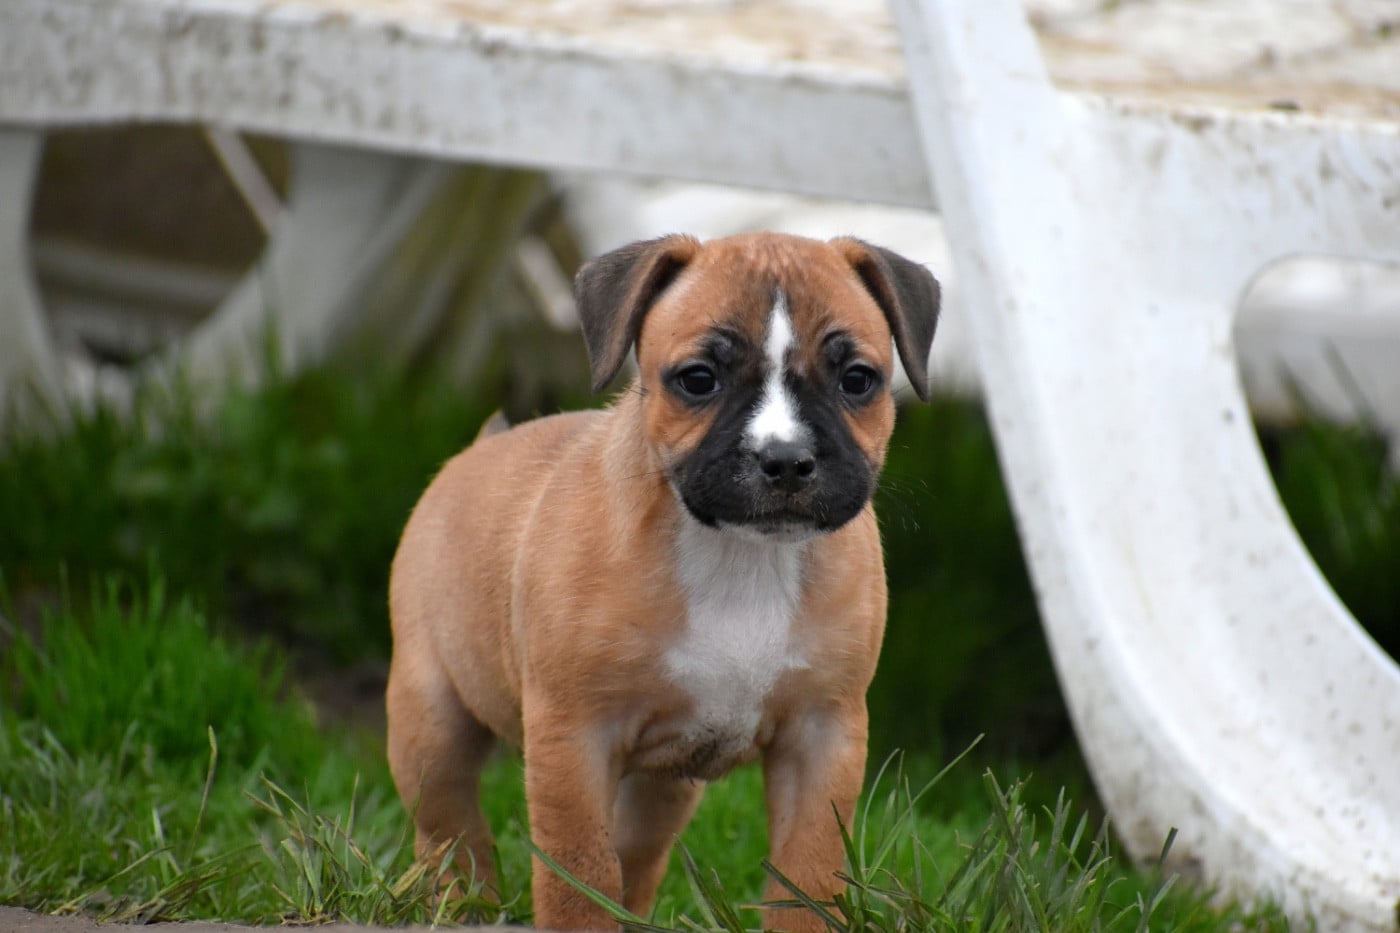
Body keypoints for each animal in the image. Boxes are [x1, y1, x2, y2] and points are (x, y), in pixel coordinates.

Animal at [386, 232, 939, 932]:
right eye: (698, 380)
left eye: (857, 380)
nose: (785, 460)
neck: (739, 554)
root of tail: (480, 448)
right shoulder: (574, 740)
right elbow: (578, 878)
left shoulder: (823, 739)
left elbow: (808, 874)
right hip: (431, 722)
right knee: (450, 827)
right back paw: (463, 902)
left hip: (663, 787)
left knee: (637, 858)